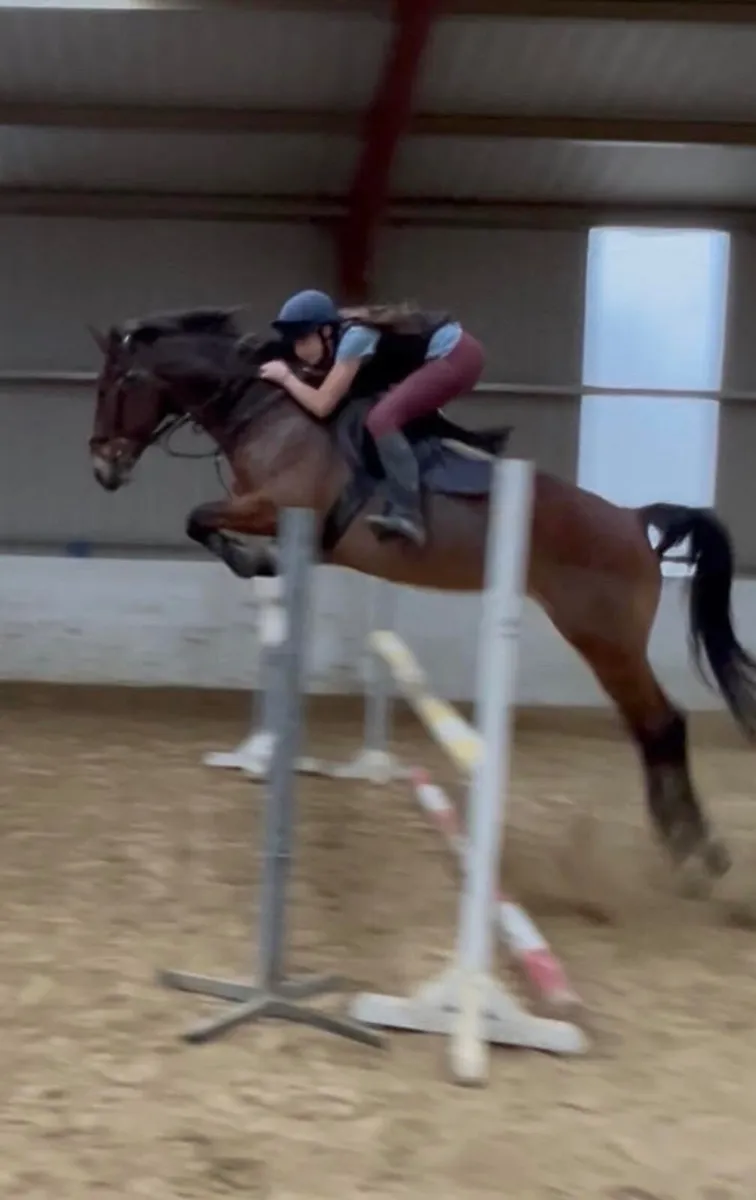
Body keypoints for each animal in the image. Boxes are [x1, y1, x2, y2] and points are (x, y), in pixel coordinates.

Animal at [87, 306, 756, 890]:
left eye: (119, 383)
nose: (103, 469)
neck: (268, 411)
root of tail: (634, 520)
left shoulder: (277, 507)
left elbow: (199, 519)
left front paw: (256, 561)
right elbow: (203, 523)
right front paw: (261, 563)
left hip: (605, 639)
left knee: (663, 724)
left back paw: (700, 856)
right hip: (604, 642)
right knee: (650, 728)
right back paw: (687, 850)